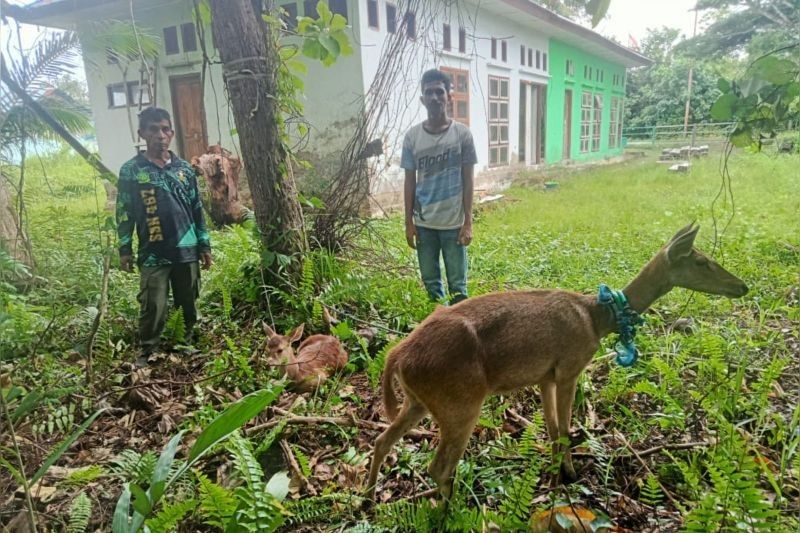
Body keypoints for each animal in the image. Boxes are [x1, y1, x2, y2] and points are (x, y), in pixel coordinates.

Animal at [366, 224, 748, 498]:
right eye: (700, 261)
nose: (741, 286)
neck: (597, 318)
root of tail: (397, 354)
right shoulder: (570, 367)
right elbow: (565, 428)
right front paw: (571, 475)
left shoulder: (545, 376)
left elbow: (552, 430)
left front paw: (557, 475)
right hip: (460, 402)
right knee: (439, 467)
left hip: (419, 400)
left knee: (382, 440)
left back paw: (368, 497)